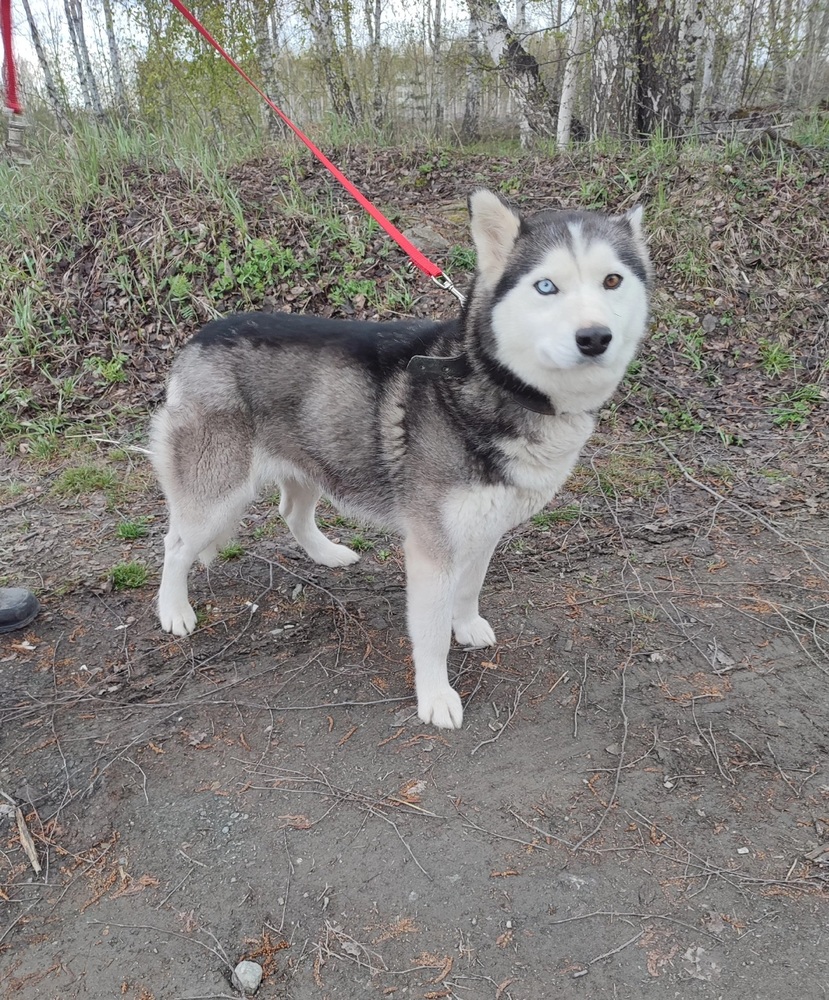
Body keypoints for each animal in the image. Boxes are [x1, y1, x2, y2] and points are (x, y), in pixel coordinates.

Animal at [152, 191, 652, 732]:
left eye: (612, 280)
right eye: (546, 286)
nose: (594, 337)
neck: (496, 386)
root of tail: (198, 337)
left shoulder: (483, 531)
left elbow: (469, 589)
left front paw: (467, 626)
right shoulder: (432, 551)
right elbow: (430, 637)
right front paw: (435, 697)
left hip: (316, 458)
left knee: (291, 513)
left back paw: (327, 554)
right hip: (217, 492)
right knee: (175, 544)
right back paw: (173, 610)